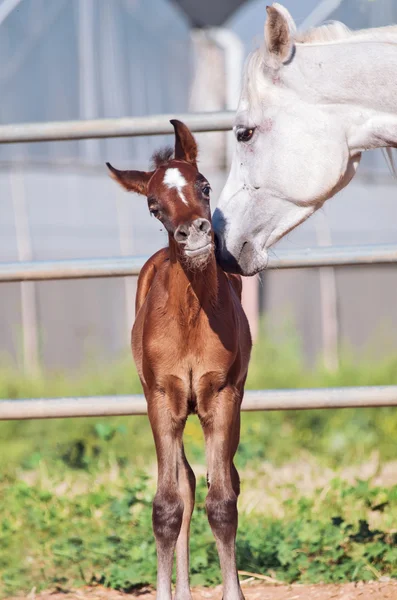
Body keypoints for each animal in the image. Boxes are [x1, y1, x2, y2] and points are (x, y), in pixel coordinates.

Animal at [106, 122, 251, 600]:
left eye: (204, 186)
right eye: (153, 207)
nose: (197, 236)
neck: (190, 315)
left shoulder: (221, 396)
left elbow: (222, 503)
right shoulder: (161, 399)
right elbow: (166, 506)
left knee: (224, 481)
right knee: (185, 482)